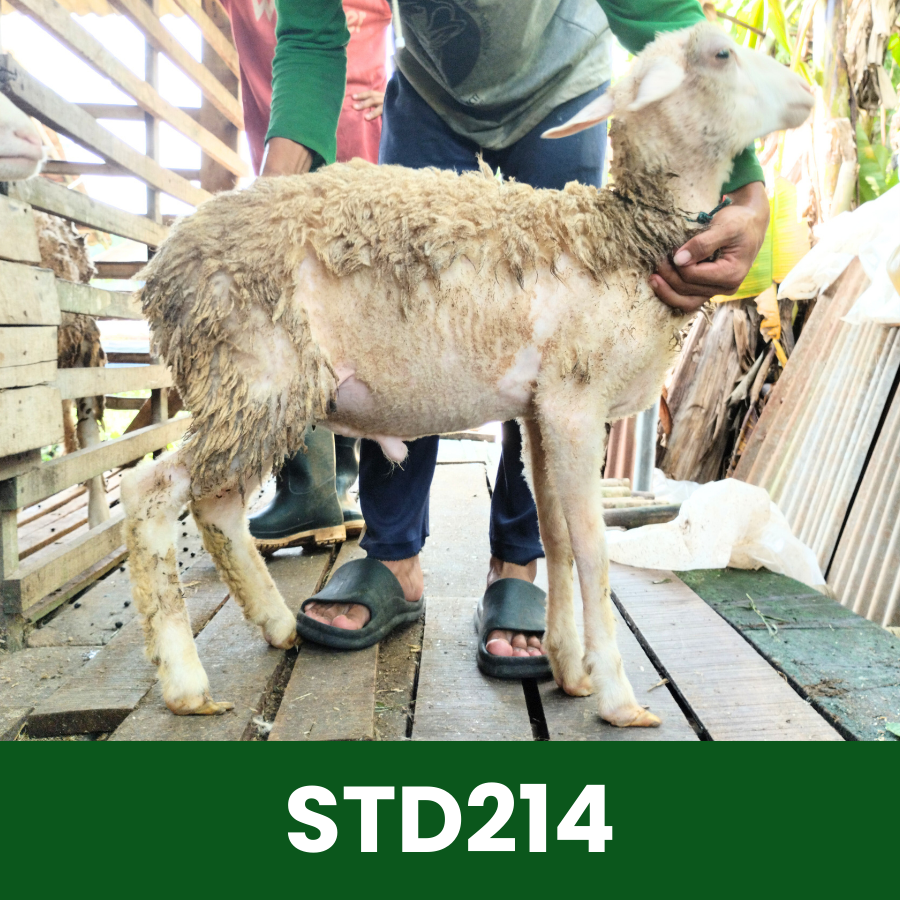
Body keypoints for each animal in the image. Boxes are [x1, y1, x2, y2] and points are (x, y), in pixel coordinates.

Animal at [122, 22, 813, 725]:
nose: (808, 96)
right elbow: (591, 547)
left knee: (215, 506)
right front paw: (618, 698)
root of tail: (160, 274)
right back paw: (186, 683)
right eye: (722, 54)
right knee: (152, 494)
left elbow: (554, 535)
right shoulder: (575, 401)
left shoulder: (540, 409)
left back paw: (278, 625)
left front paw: (569, 669)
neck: (623, 237)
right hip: (253, 378)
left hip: (249, 394)